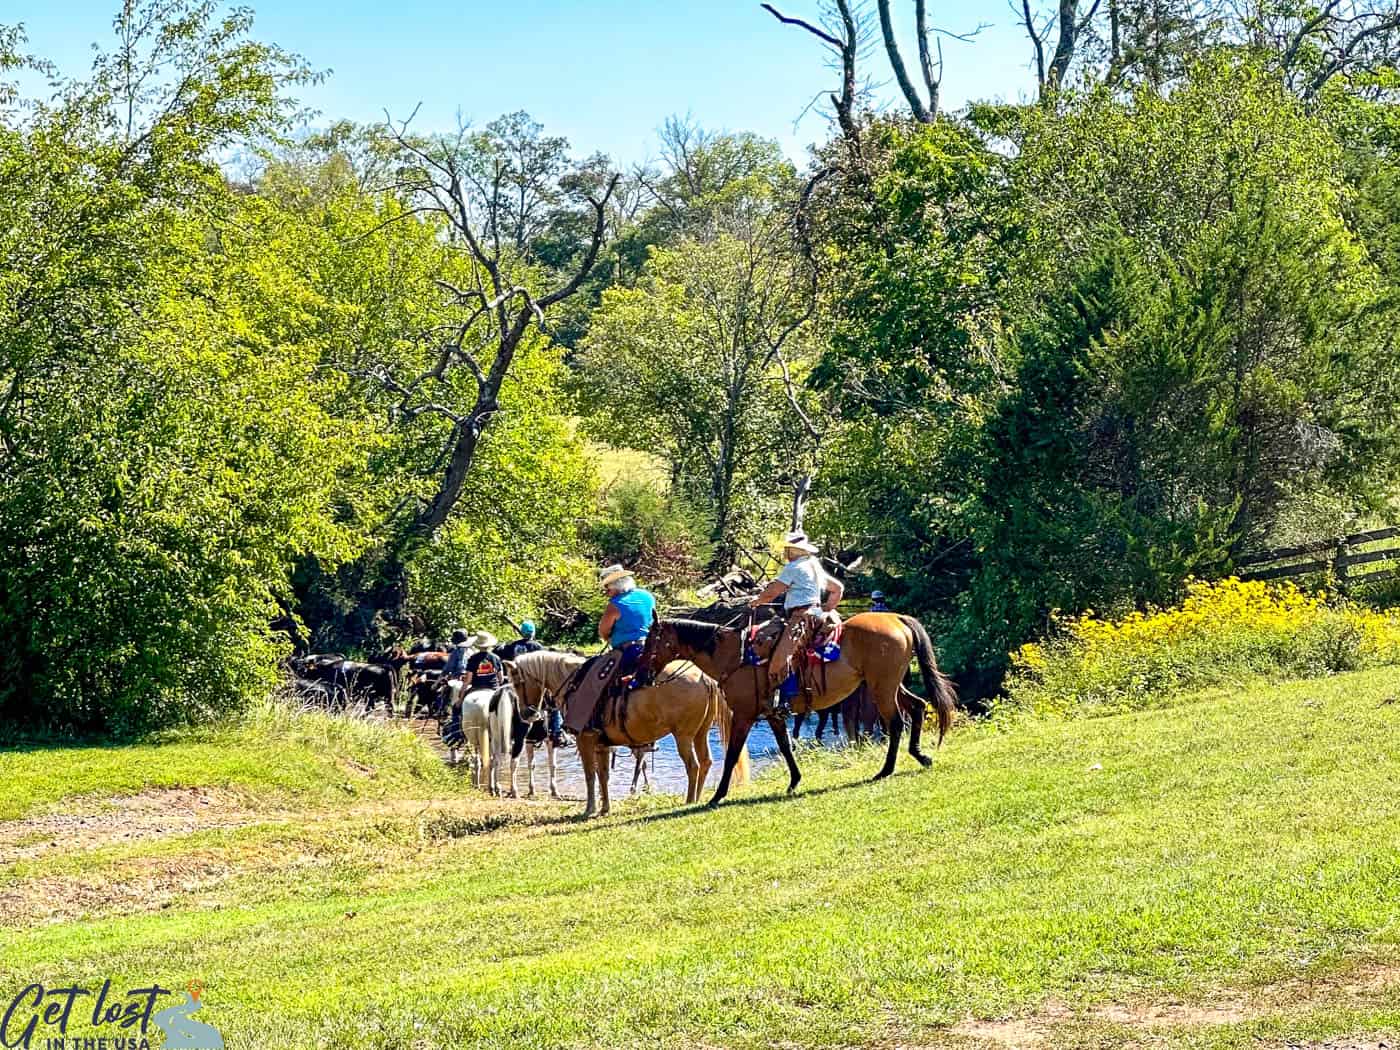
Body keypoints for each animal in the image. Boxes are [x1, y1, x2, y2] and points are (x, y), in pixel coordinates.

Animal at [506, 649, 739, 823]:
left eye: (517, 682)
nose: (527, 714)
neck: (574, 683)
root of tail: (703, 677)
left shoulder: (584, 740)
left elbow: (590, 775)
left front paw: (589, 809)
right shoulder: (602, 745)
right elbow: (603, 776)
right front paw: (604, 808)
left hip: (683, 735)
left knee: (693, 766)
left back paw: (689, 800)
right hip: (700, 733)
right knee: (706, 762)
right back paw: (698, 798)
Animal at [646, 613, 957, 812]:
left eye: (650, 641)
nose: (642, 672)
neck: (734, 658)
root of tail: (897, 619)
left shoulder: (744, 715)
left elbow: (732, 754)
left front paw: (718, 796)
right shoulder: (772, 714)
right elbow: (785, 746)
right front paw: (794, 781)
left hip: (881, 688)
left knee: (895, 722)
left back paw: (886, 770)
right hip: (890, 684)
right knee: (917, 707)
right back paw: (920, 756)